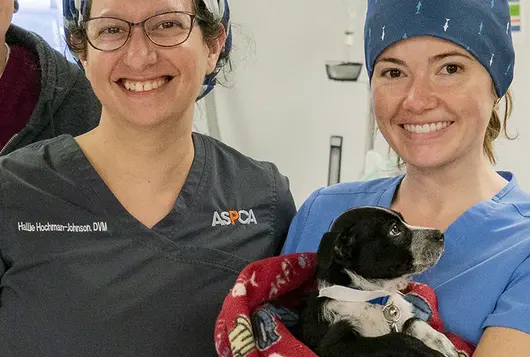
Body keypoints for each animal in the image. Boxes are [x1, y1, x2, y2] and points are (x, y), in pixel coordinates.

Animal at [294, 206, 460, 356]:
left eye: (404, 220)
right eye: (395, 229)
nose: (441, 234)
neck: (372, 296)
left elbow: (412, 320)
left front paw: (440, 342)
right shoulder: (333, 345)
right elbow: (396, 338)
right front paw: (431, 352)